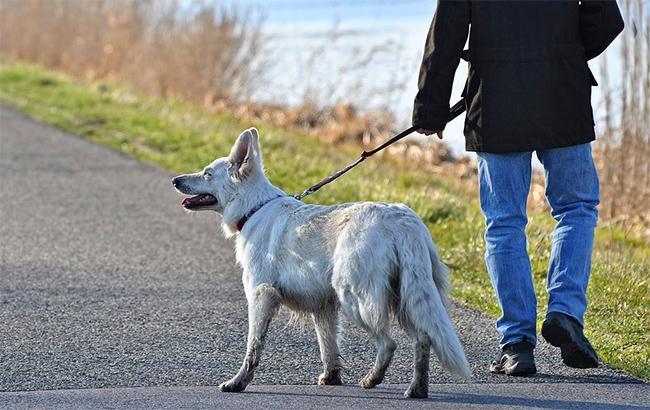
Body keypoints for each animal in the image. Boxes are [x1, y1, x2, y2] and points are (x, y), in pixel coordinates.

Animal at [171, 128, 466, 398]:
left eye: (207, 173)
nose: (175, 180)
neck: (254, 208)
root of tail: (402, 220)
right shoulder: (323, 307)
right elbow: (328, 347)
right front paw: (331, 378)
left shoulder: (260, 296)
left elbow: (253, 347)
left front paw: (238, 382)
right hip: (406, 298)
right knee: (423, 339)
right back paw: (417, 389)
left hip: (356, 299)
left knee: (388, 343)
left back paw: (372, 379)